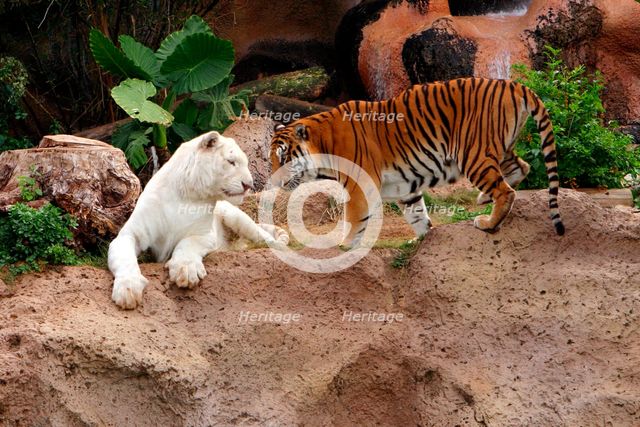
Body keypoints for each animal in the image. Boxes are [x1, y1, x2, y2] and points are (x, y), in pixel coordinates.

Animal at [270, 77, 564, 247]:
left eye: (283, 157)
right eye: (271, 159)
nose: (272, 179)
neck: (322, 147)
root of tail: (514, 84)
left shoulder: (358, 185)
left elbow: (354, 221)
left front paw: (344, 247)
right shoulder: (405, 187)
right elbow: (417, 214)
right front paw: (421, 239)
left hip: (472, 153)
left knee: (506, 190)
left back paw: (488, 223)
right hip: (498, 149)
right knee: (521, 168)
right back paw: (483, 199)